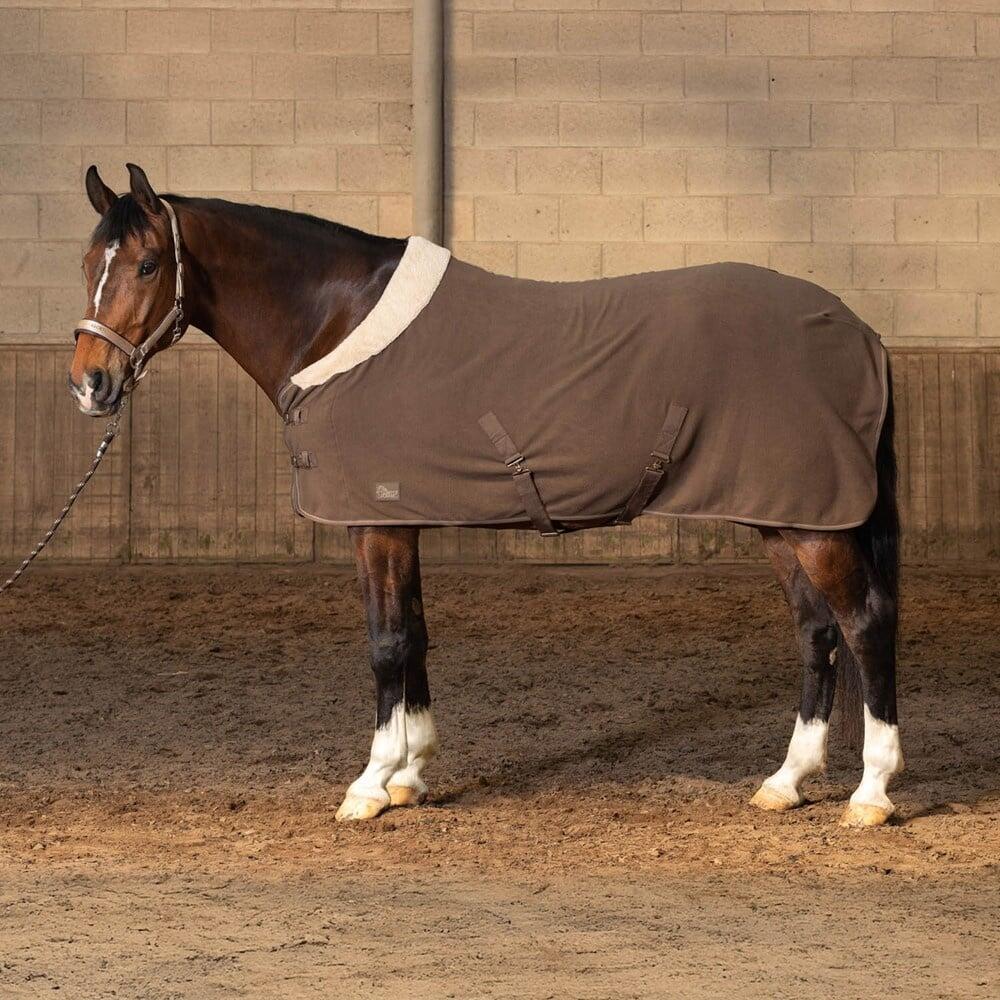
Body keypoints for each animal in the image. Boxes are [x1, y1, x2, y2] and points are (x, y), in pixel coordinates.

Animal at [68, 164, 903, 829]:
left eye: (148, 264)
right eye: (87, 263)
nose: (90, 384)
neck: (337, 318)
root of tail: (858, 329)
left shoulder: (374, 521)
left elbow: (386, 642)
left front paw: (370, 784)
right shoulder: (400, 520)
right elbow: (415, 633)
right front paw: (411, 775)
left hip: (814, 522)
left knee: (862, 624)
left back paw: (871, 793)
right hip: (781, 515)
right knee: (815, 631)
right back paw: (786, 782)